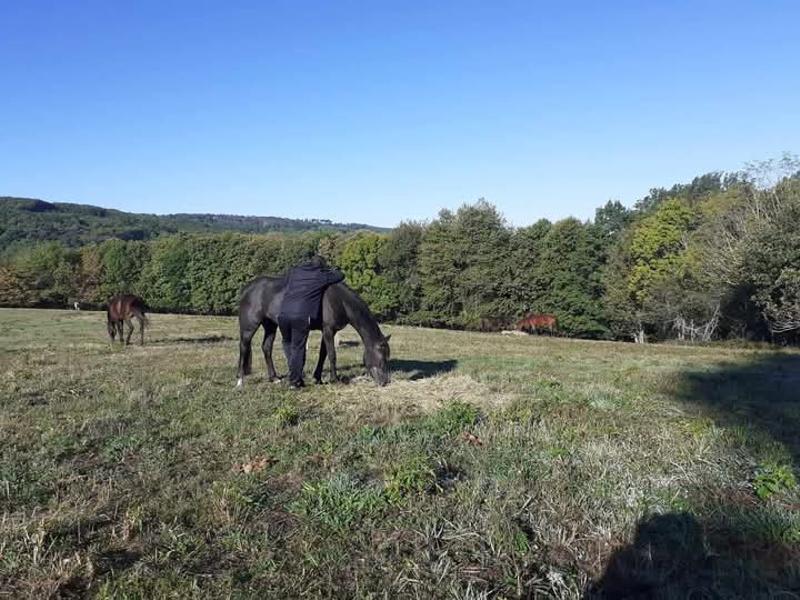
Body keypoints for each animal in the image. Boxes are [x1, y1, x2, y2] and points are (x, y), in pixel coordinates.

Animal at [236, 277, 391, 388]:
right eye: (382, 358)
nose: (384, 382)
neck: (338, 300)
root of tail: (248, 288)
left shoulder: (328, 331)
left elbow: (323, 354)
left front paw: (318, 378)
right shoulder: (328, 330)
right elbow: (332, 355)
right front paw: (335, 379)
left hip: (270, 326)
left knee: (266, 348)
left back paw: (274, 378)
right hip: (249, 327)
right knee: (243, 347)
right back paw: (240, 381)